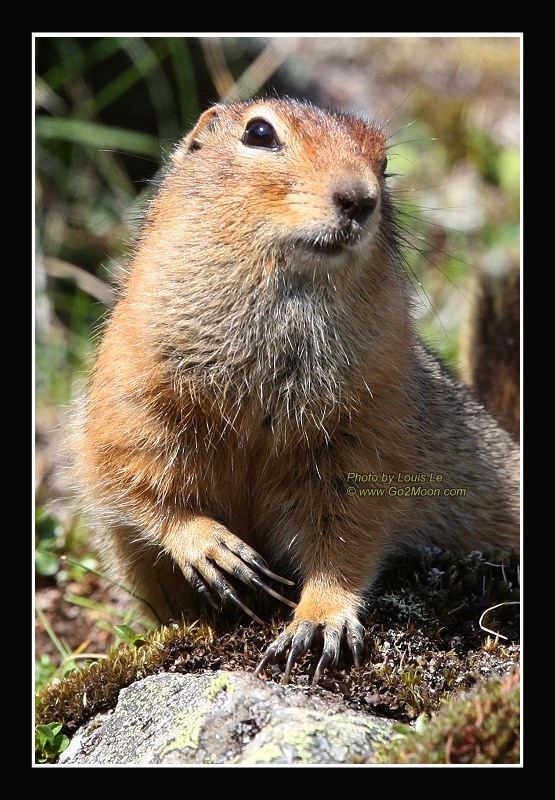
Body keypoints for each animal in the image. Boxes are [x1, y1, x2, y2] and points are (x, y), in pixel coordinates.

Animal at [68, 97, 520, 684]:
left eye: (385, 163)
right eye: (260, 133)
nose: (359, 198)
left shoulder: (371, 420)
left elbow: (346, 534)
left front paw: (319, 622)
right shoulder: (133, 382)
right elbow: (131, 473)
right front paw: (212, 548)